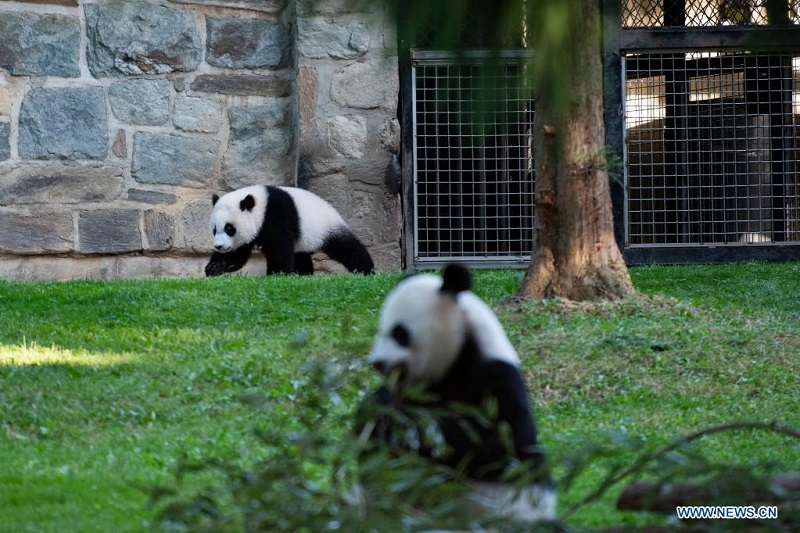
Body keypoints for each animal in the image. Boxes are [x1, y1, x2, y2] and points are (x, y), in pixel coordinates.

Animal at [203, 185, 372, 276]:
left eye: (229, 228)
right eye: (215, 230)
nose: (219, 246)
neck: (261, 205)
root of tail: (334, 210)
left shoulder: (277, 216)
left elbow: (280, 249)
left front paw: (277, 275)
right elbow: (238, 255)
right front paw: (213, 267)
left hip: (327, 227)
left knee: (347, 248)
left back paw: (367, 270)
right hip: (304, 242)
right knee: (301, 257)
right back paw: (304, 275)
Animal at [356, 262, 556, 524]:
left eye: (400, 333)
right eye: (382, 330)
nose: (377, 363)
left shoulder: (495, 380)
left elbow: (500, 443)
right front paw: (377, 409)